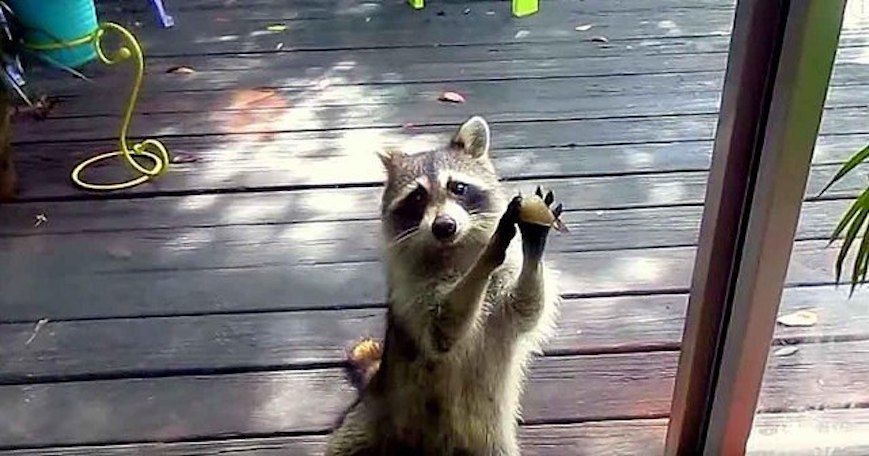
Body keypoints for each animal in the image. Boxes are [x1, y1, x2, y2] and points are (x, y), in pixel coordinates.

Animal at [328, 116, 564, 454]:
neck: (453, 252)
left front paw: (533, 240)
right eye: (417, 197)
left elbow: (526, 306)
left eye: (458, 187)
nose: (444, 226)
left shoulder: (503, 299)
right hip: (368, 422)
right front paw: (489, 252)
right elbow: (443, 329)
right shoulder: (412, 295)